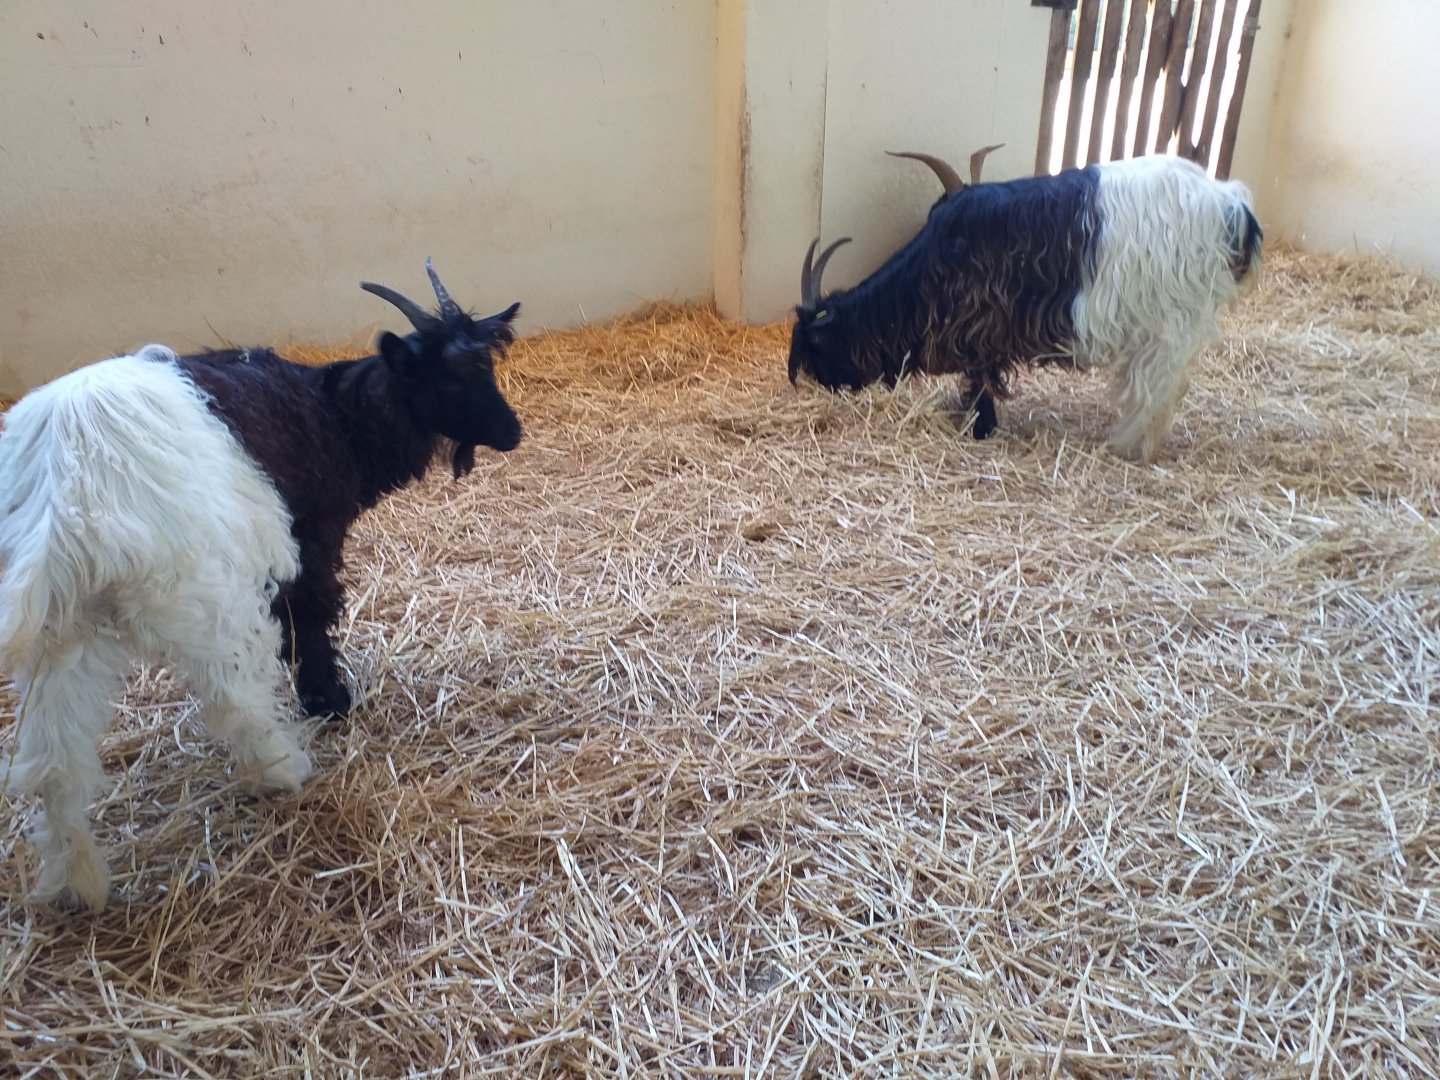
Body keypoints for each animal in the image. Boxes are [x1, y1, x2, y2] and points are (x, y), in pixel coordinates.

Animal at [0, 261, 522, 911]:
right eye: (448, 376)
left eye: (487, 365)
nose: (512, 430)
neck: (334, 413)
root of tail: (67, 481)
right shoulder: (309, 533)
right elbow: (312, 611)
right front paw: (328, 699)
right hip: (201, 593)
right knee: (233, 698)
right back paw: (282, 769)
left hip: (62, 631)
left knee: (55, 760)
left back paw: (79, 884)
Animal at [787, 149, 1263, 462]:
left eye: (816, 346)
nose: (823, 386)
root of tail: (1231, 205)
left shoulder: (977, 329)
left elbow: (980, 381)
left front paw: (980, 428)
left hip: (1168, 322)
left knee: (1155, 390)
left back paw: (1128, 447)